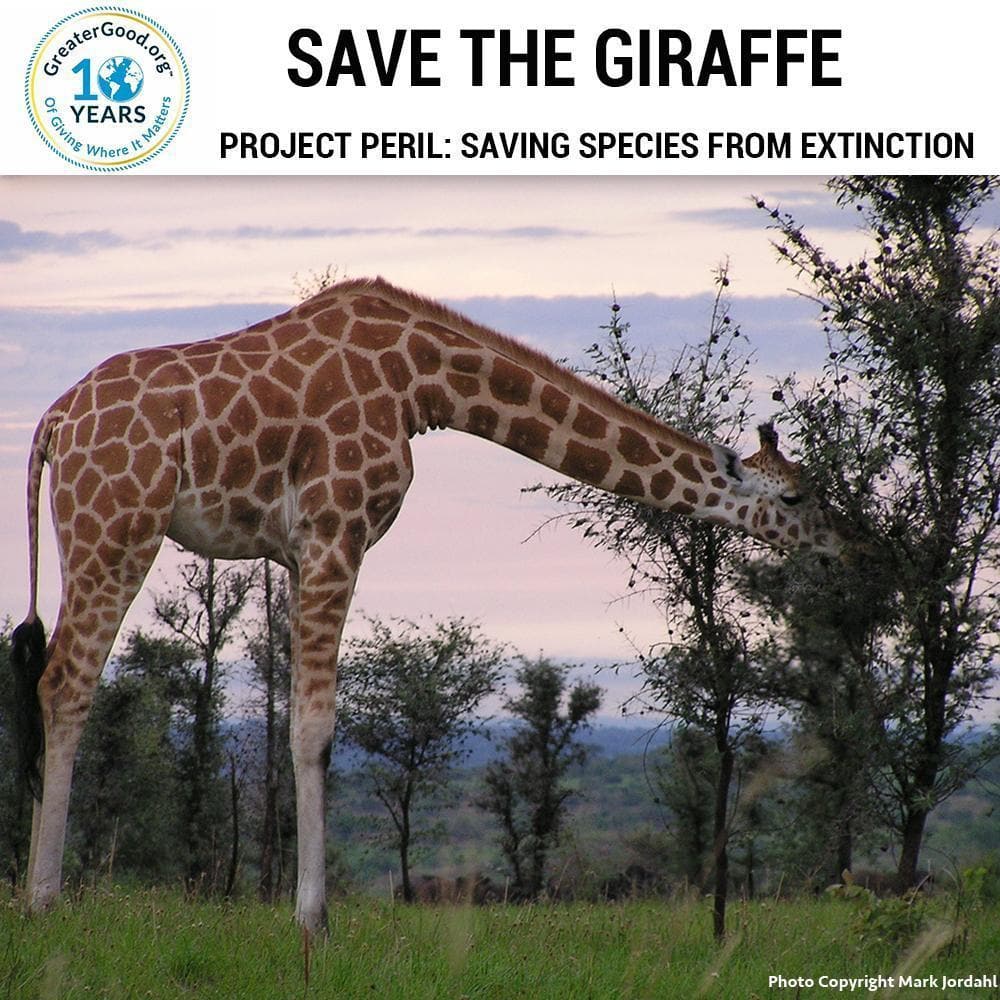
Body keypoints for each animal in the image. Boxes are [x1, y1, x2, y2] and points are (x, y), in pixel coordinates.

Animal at [10, 277, 844, 933]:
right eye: (797, 496)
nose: (845, 548)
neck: (421, 381)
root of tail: (53, 422)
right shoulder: (336, 531)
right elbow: (315, 726)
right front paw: (312, 919)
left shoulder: (296, 552)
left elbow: (298, 717)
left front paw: (306, 909)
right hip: (116, 527)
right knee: (67, 681)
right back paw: (43, 901)